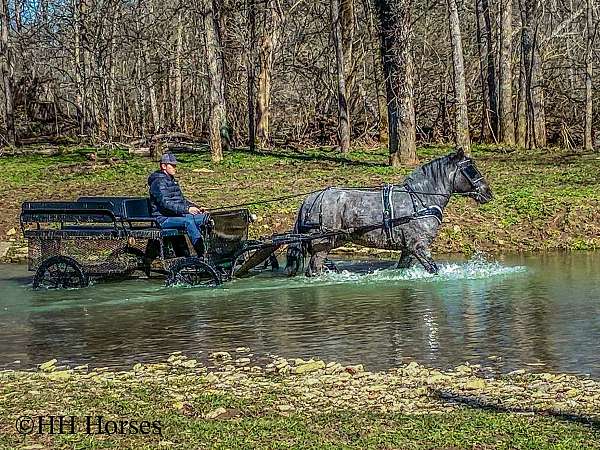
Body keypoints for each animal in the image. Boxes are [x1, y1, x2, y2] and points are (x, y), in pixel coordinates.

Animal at [286, 149, 492, 276]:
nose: (488, 193)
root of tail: (310, 199)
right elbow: (433, 269)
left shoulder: (408, 249)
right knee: (314, 270)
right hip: (322, 244)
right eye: (471, 169)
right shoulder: (419, 246)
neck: (420, 199)